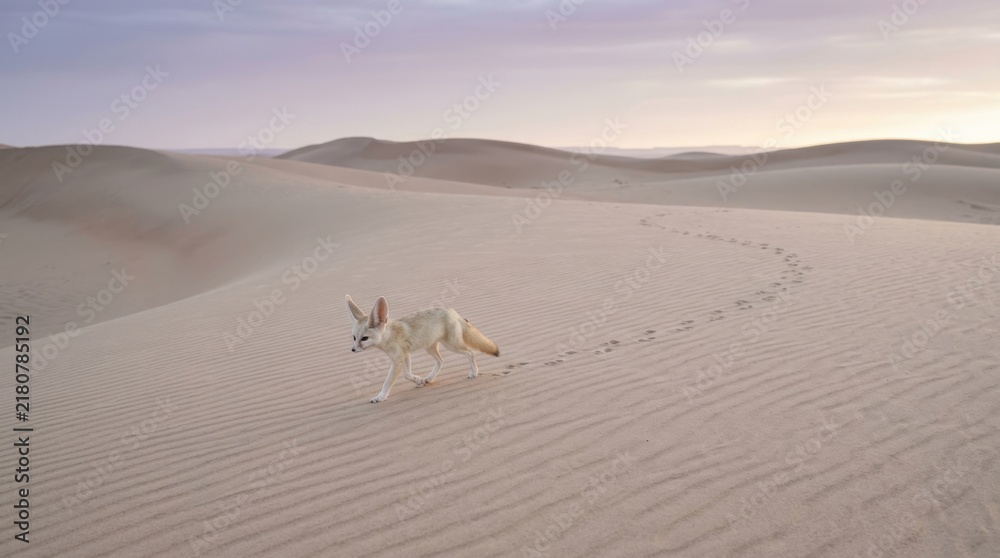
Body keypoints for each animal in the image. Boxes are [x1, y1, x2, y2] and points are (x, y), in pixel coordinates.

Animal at [346, 295, 500, 403]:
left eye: (364, 338)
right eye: (354, 338)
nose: (353, 350)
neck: (389, 336)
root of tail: (451, 311)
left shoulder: (398, 359)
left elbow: (388, 382)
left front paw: (380, 397)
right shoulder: (405, 355)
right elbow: (407, 374)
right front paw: (418, 381)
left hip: (452, 346)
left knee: (470, 352)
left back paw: (474, 372)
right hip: (430, 348)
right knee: (441, 361)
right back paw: (429, 378)